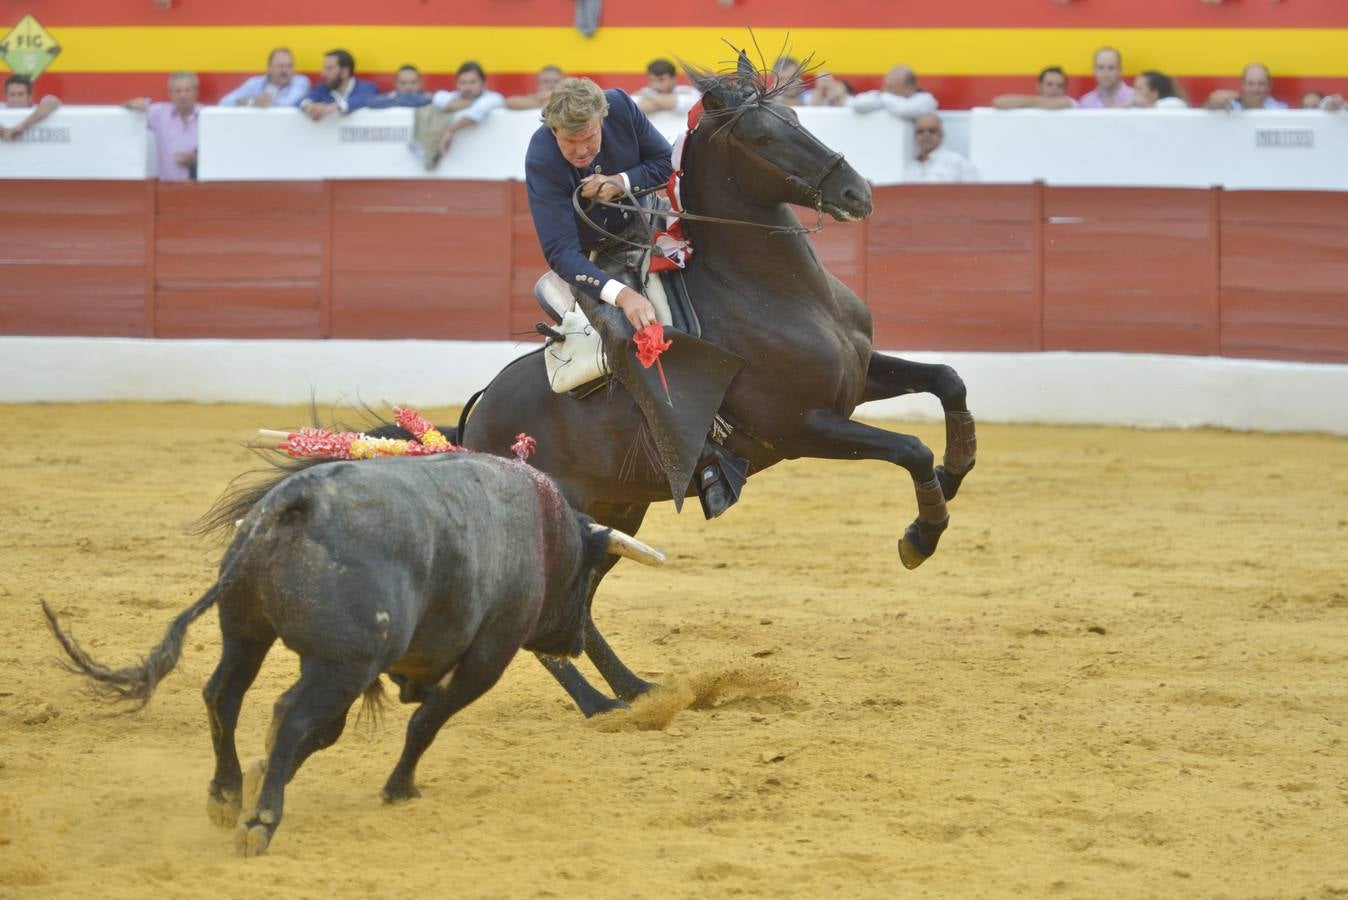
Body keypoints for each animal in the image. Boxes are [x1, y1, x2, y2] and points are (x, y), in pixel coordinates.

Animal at [44, 452, 665, 856]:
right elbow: (424, 723)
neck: (545, 531)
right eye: (586, 573)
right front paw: (398, 789)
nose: (574, 640)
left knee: (226, 697)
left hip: (248, 634)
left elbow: (328, 734)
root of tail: (296, 500)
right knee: (291, 715)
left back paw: (227, 795)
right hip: (341, 664)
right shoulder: (485, 658)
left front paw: (263, 774)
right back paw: (261, 822)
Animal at [458, 57, 975, 716]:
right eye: (760, 137)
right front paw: (921, 536)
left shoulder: (856, 382)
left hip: (618, 513)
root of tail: (476, 419)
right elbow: (909, 448)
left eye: (794, 116)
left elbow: (948, 382)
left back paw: (636, 691)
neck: (770, 290)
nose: (856, 193)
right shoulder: (803, 428)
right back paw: (605, 706)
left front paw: (956, 472)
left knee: (581, 603)